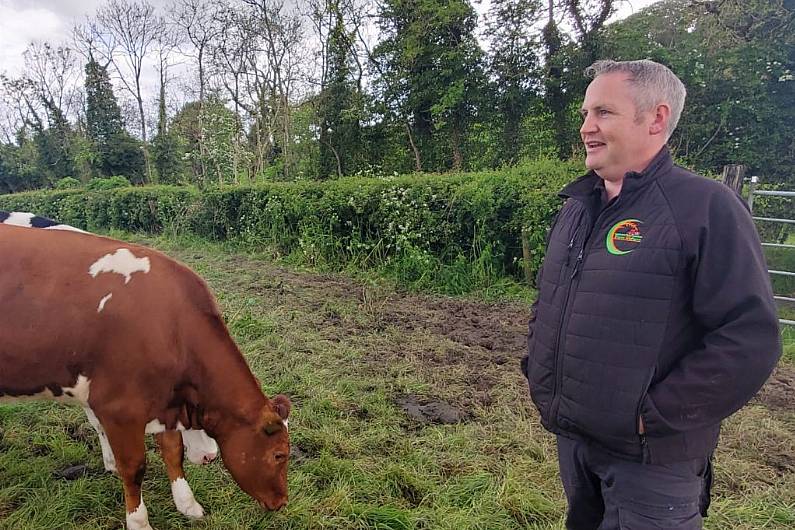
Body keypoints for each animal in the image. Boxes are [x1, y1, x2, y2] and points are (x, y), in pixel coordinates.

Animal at [0, 221, 292, 524]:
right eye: (279, 455)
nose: (282, 501)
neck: (170, 325)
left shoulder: (165, 399)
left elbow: (173, 452)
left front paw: (187, 504)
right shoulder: (119, 409)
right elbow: (134, 467)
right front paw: (138, 521)